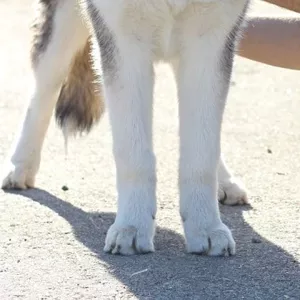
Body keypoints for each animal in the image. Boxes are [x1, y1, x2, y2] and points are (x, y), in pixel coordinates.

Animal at [1, 0, 248, 255]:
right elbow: (134, 156)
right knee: (45, 88)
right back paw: (20, 165)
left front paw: (206, 225)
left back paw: (225, 181)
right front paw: (132, 224)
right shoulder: (124, 41)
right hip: (62, 28)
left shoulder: (209, 39)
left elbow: (202, 154)